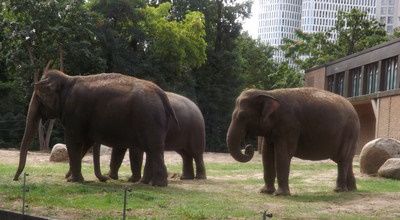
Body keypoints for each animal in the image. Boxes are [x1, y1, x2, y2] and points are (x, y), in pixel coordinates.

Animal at [14, 68, 177, 186]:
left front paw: (74, 180)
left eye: (38, 98)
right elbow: (84, 144)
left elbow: (73, 141)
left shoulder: (75, 113)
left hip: (149, 119)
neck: (67, 79)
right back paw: (147, 183)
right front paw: (70, 177)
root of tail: (162, 94)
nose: (15, 178)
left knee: (154, 148)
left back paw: (158, 185)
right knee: (152, 149)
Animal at [227, 87, 360, 196]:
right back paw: (351, 189)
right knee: (347, 159)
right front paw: (265, 192)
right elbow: (267, 154)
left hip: (349, 132)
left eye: (243, 116)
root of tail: (354, 109)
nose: (248, 147)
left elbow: (283, 154)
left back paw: (339, 190)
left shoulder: (289, 125)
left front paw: (280, 195)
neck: (268, 93)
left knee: (342, 159)